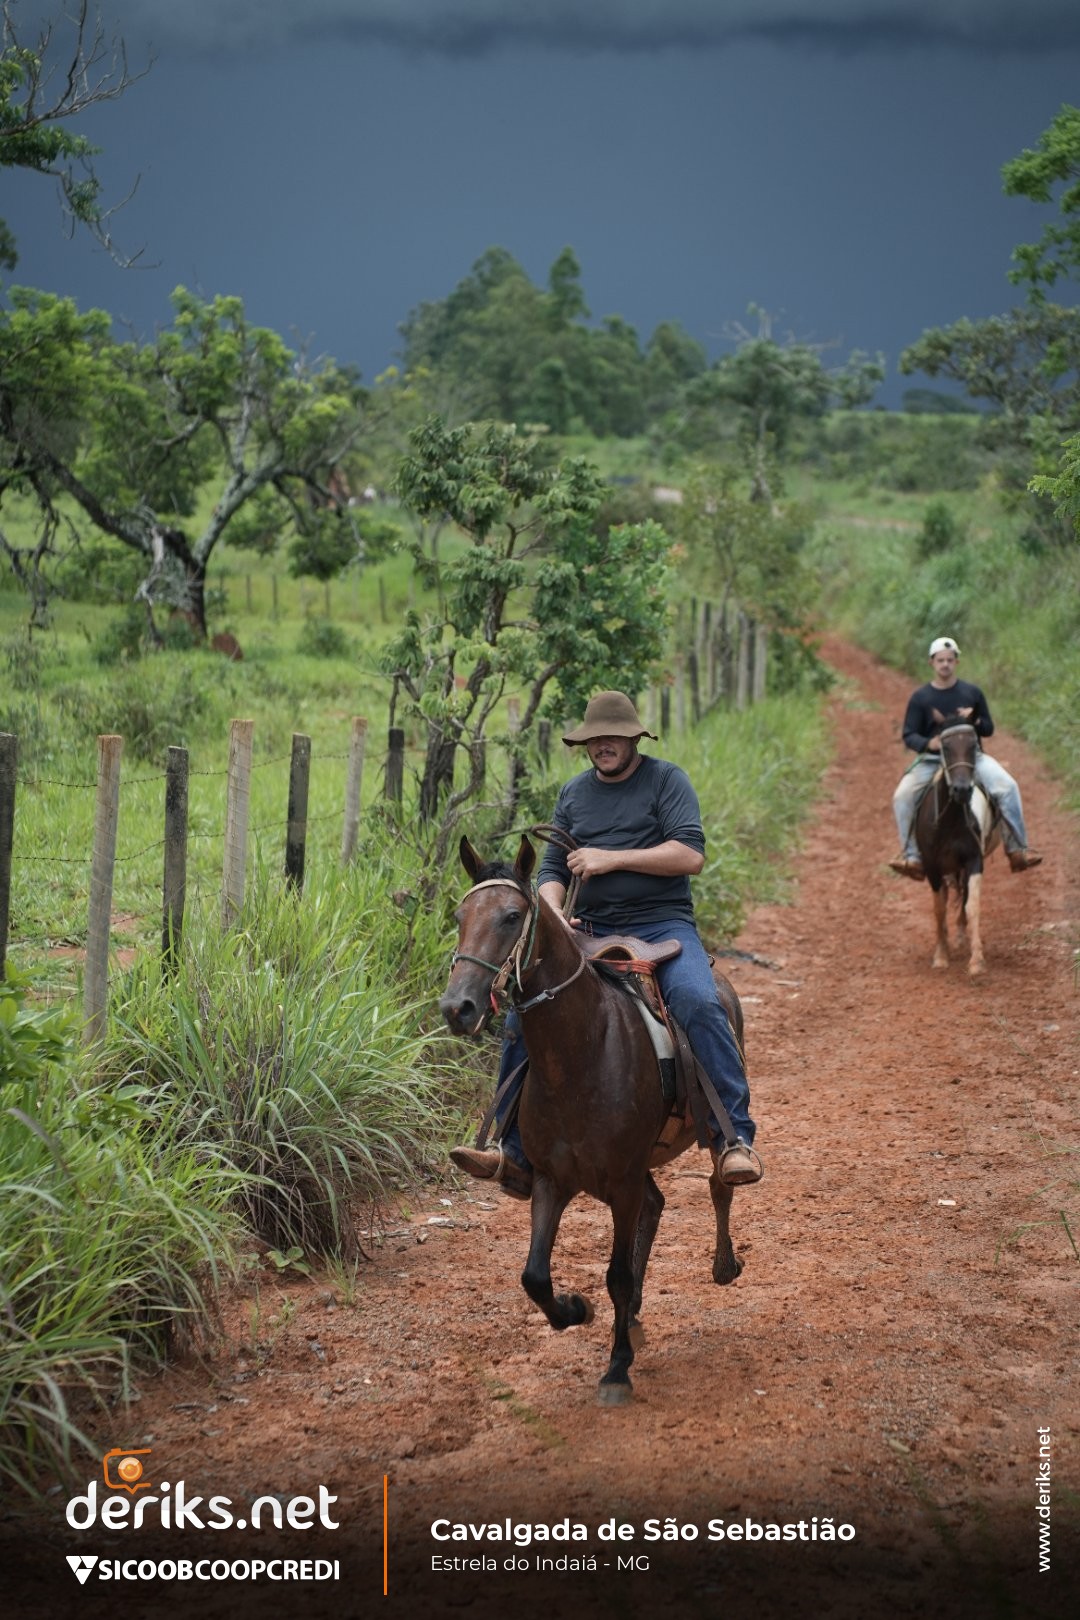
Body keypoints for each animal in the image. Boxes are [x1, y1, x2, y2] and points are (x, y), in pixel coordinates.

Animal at [439, 833, 745, 1405]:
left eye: (512, 916)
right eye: (459, 915)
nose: (458, 1008)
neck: (581, 1053)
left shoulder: (621, 1183)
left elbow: (617, 1275)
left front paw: (617, 1368)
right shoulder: (551, 1180)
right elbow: (534, 1275)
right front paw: (576, 1311)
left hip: (708, 1121)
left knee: (720, 1181)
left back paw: (724, 1260)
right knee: (657, 1205)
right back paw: (636, 1318)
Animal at [914, 723, 1001, 977]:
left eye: (973, 746)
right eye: (946, 747)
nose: (961, 789)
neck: (950, 820)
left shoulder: (973, 860)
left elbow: (972, 905)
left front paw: (977, 960)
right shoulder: (932, 867)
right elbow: (939, 908)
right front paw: (941, 956)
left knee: (962, 896)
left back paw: (961, 937)